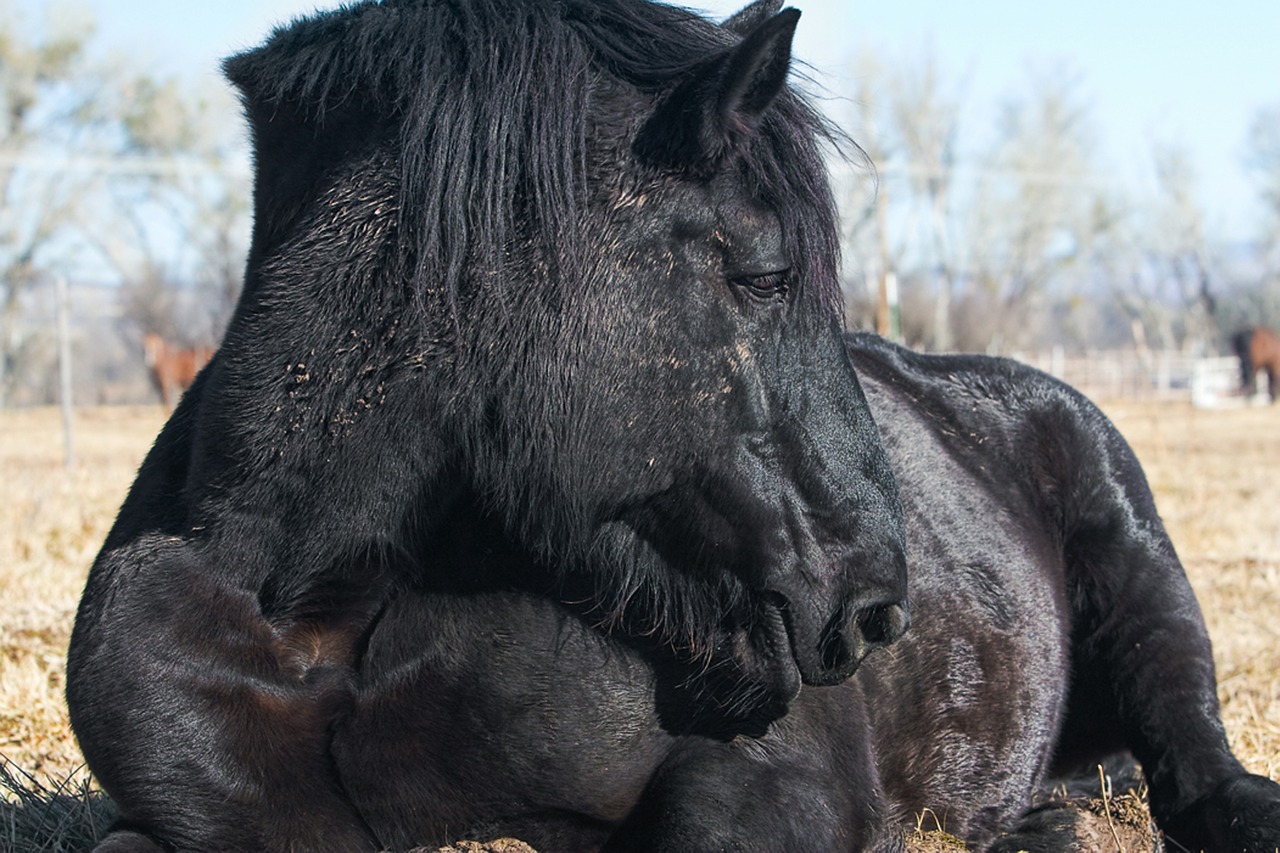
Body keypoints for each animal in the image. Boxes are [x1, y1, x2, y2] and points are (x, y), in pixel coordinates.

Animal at [67, 1, 1280, 850]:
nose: (877, 605)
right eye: (765, 275)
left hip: (1145, 581)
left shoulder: (772, 780)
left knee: (1193, 755)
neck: (328, 616)